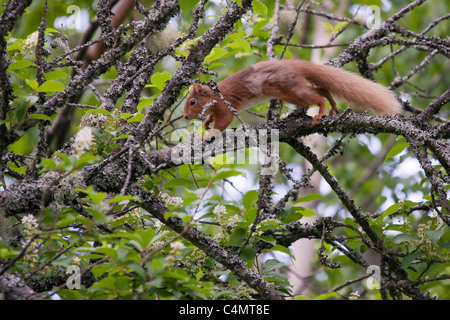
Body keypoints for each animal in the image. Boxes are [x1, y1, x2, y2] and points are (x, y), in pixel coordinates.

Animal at [183, 59, 400, 138]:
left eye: (192, 102)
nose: (185, 116)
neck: (213, 95)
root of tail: (294, 64)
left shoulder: (224, 104)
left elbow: (223, 122)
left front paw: (208, 134)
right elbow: (213, 118)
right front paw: (207, 122)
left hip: (292, 91)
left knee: (316, 96)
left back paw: (321, 111)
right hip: (291, 93)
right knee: (321, 89)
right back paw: (331, 104)